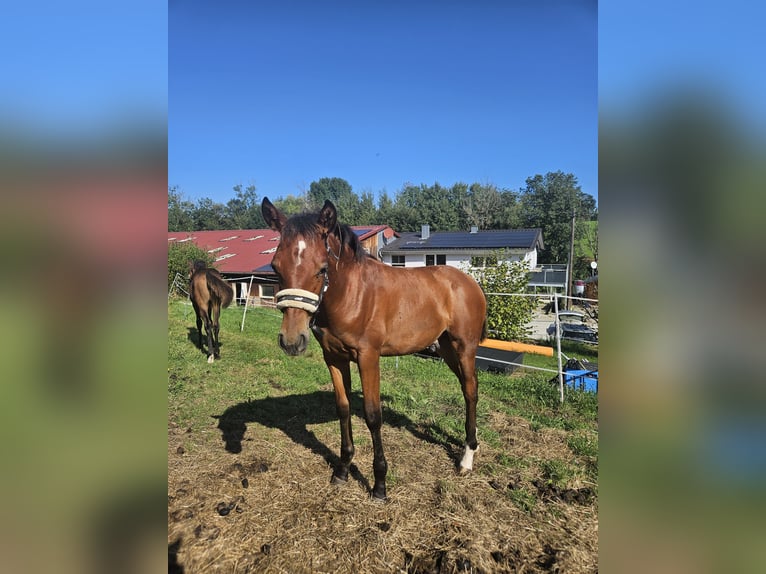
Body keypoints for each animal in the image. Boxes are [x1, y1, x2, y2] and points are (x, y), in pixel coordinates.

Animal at [260, 199, 484, 504]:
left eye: (321, 268)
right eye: (275, 267)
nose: (292, 341)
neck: (351, 294)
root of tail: (470, 283)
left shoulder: (368, 358)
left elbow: (372, 415)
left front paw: (379, 485)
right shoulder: (334, 358)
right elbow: (343, 408)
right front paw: (342, 469)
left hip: (464, 347)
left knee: (471, 391)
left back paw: (467, 458)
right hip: (447, 348)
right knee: (465, 388)